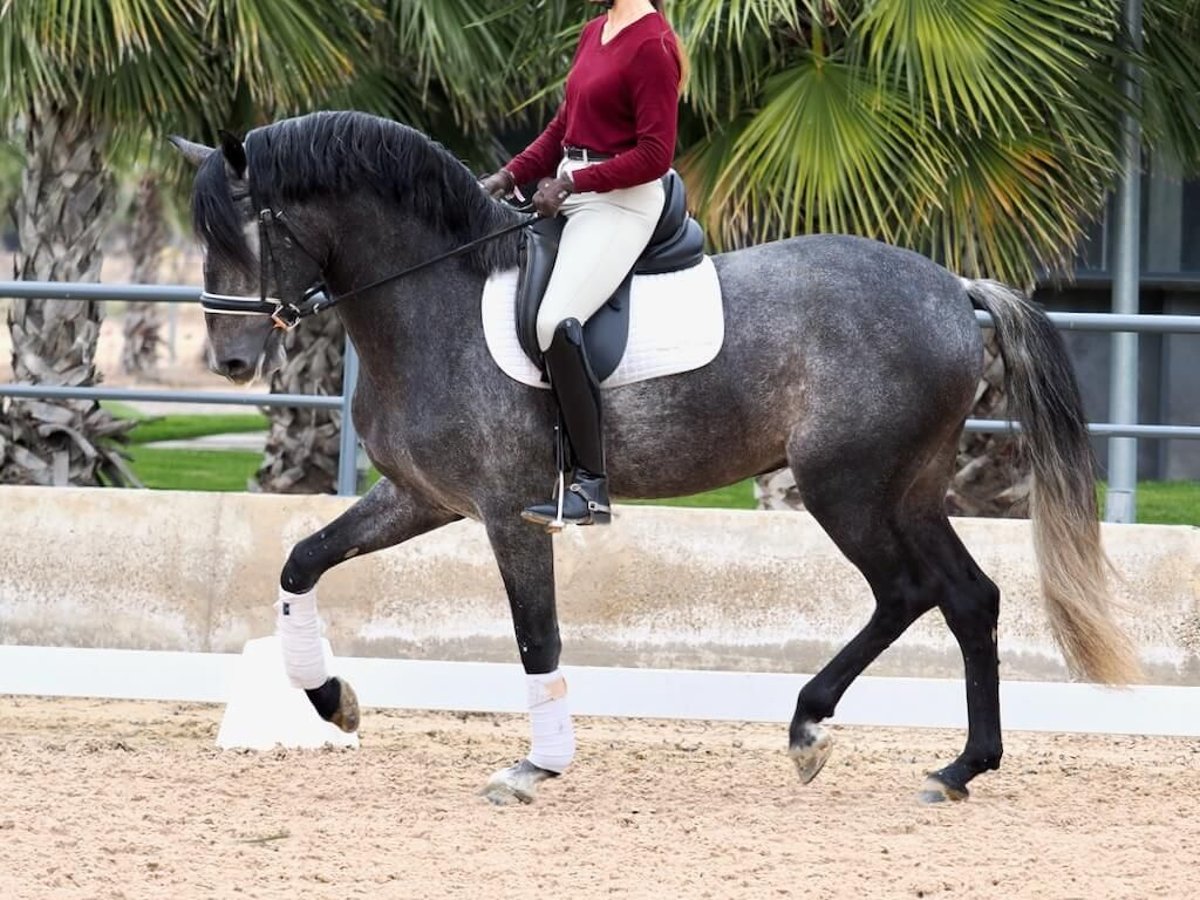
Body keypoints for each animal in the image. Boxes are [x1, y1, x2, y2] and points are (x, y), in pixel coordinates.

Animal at [171, 109, 1132, 806]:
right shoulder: (422, 497)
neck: (431, 299)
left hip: (849, 487)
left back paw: (812, 728)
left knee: (906, 592)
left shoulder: (509, 511)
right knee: (969, 597)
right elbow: (302, 561)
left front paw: (537, 766)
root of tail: (953, 289)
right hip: (911, 488)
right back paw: (960, 768)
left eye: (251, 232)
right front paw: (328, 698)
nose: (231, 363)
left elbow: (537, 635)